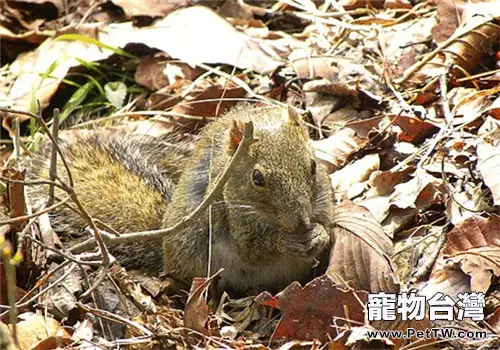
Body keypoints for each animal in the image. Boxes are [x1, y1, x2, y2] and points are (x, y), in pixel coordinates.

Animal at [27, 104, 334, 296]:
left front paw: (318, 234)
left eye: (313, 166)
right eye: (256, 178)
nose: (300, 223)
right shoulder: (233, 213)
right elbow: (252, 250)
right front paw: (285, 241)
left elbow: (330, 230)